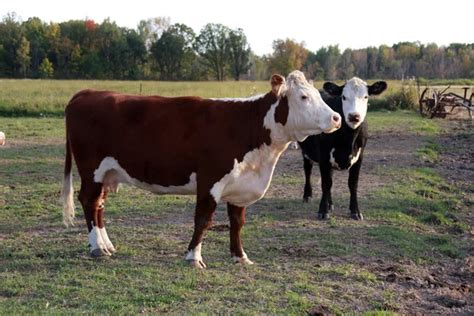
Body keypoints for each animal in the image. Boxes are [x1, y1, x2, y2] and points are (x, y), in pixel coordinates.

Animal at [62, 70, 340, 268]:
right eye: (303, 97)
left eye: (318, 95)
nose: (336, 118)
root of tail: (87, 92)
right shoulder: (210, 180)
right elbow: (203, 219)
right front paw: (193, 257)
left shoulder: (239, 186)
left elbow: (237, 222)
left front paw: (240, 256)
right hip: (91, 169)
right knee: (88, 201)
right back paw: (97, 247)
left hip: (107, 173)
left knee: (98, 205)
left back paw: (106, 245)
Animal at [298, 77, 386, 220]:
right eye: (343, 97)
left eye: (366, 96)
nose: (354, 116)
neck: (348, 140)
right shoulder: (323, 156)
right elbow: (325, 183)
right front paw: (323, 210)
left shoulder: (359, 157)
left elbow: (352, 184)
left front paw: (355, 211)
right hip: (305, 151)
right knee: (308, 171)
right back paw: (307, 195)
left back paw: (330, 203)